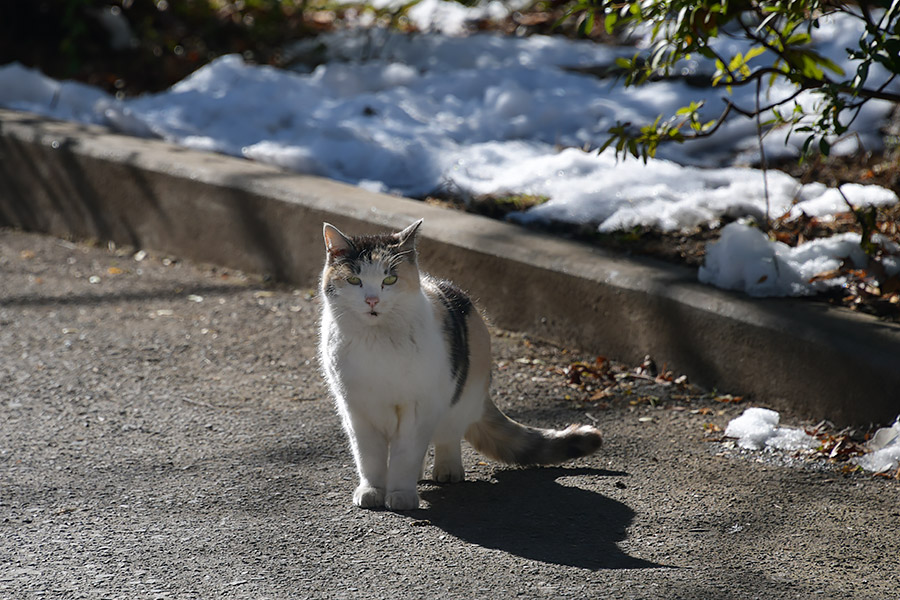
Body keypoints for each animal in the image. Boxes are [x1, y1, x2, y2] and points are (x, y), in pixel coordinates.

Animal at [320, 218, 600, 508]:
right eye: (354, 280)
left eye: (390, 279)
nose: (372, 300)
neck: (376, 342)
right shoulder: (356, 411)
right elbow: (369, 458)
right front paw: (373, 490)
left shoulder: (417, 408)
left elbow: (405, 455)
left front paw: (400, 495)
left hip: (458, 398)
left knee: (447, 437)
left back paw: (447, 471)